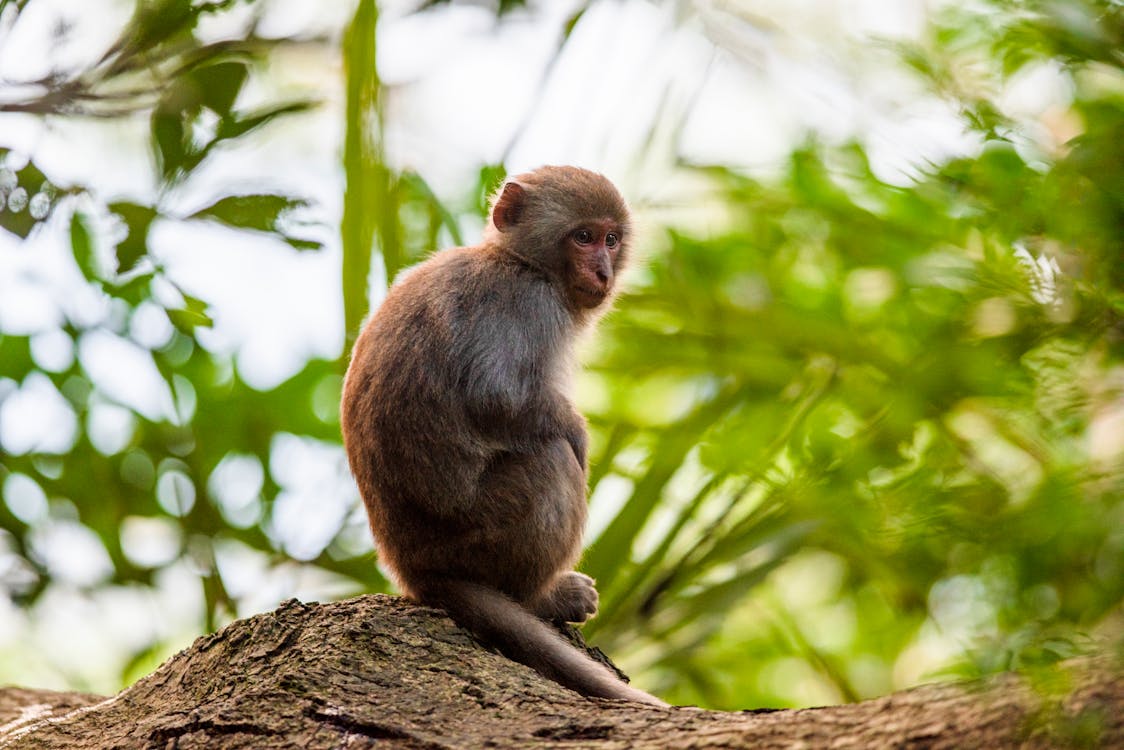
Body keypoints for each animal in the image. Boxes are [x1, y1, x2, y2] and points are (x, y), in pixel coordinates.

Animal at [337, 165, 660, 710]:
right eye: (584, 237)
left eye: (612, 240)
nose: (603, 272)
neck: (518, 260)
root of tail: (412, 568)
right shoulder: (528, 303)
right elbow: (496, 397)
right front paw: (579, 435)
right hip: (476, 534)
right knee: (551, 461)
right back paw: (541, 597)